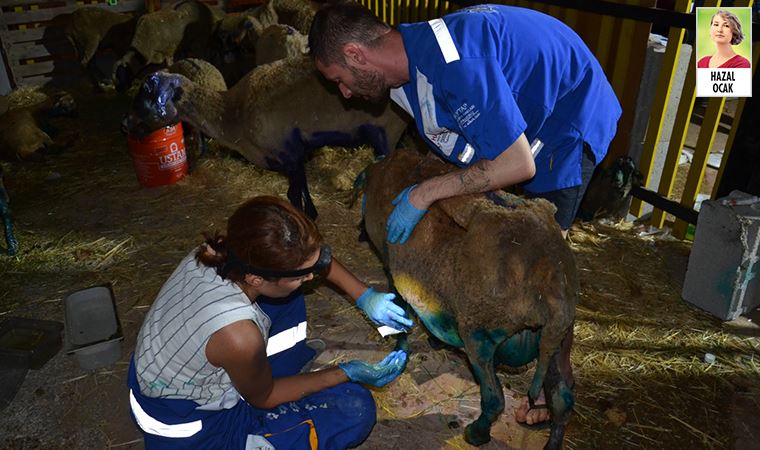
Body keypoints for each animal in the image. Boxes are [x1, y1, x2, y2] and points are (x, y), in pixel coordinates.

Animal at [129, 54, 410, 218]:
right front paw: (311, 216)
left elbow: (294, 197)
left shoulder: (288, 153)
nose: (125, 126)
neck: (231, 113)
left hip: (387, 132)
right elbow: (302, 192)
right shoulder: (296, 156)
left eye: (147, 91)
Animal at [362, 148, 576, 446]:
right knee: (562, 399)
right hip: (561, 342)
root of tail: (553, 288)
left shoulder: (392, 267)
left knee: (495, 400)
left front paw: (401, 346)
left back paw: (476, 433)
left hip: (480, 334)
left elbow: (400, 309)